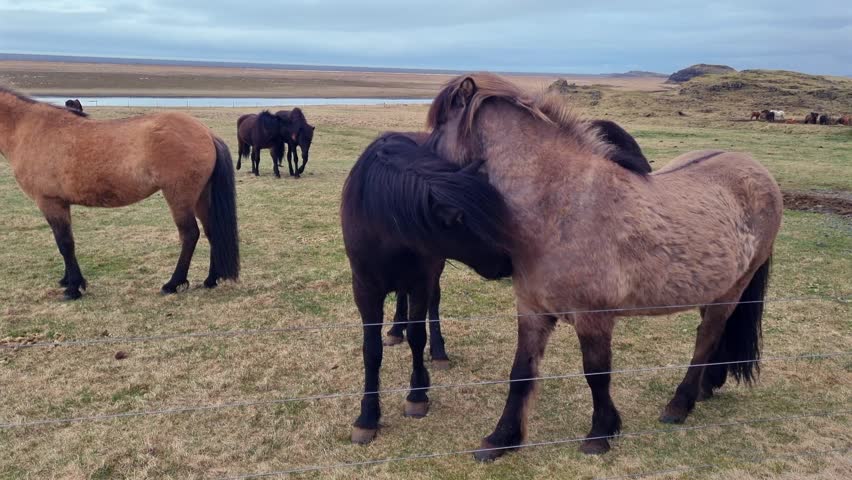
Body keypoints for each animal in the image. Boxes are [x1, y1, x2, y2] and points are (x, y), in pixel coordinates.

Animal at [0, 86, 240, 299]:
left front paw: (73, 288)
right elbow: (66, 243)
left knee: (190, 235)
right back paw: (210, 280)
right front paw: (67, 280)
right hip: (201, 198)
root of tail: (207, 133)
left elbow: (65, 243)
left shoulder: (50, 202)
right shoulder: (61, 204)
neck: (27, 128)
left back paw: (172, 284)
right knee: (211, 232)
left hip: (179, 197)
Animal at [342, 131, 515, 445]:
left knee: (432, 305)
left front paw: (418, 394)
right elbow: (371, 350)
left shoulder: (422, 281)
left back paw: (438, 351)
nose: (510, 262)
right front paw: (367, 416)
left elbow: (417, 336)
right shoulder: (365, 290)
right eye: (471, 225)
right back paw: (395, 329)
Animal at [425, 73, 783, 460]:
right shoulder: (533, 312)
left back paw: (679, 404)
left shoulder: (593, 317)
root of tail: (759, 172)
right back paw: (705, 388)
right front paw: (500, 439)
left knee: (707, 336)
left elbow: (596, 373)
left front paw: (600, 433)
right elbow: (520, 373)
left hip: (733, 288)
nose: (431, 204)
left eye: (438, 129)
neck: (560, 206)